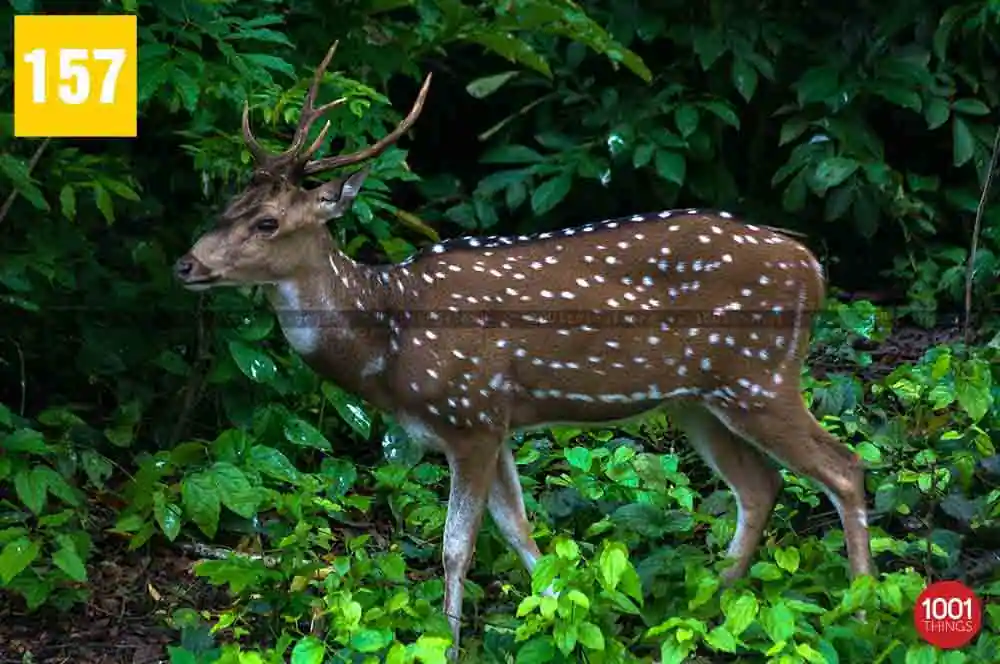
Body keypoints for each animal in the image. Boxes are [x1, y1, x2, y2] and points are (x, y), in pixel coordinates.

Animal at [173, 42, 875, 658]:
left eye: (267, 222)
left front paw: (451, 644)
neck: (389, 344)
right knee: (760, 486)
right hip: (697, 400)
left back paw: (864, 608)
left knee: (844, 467)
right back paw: (705, 610)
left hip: (760, 377)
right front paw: (571, 620)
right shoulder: (498, 420)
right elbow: (522, 531)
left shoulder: (470, 414)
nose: (185, 264)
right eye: (226, 205)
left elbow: (458, 545)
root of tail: (813, 266)